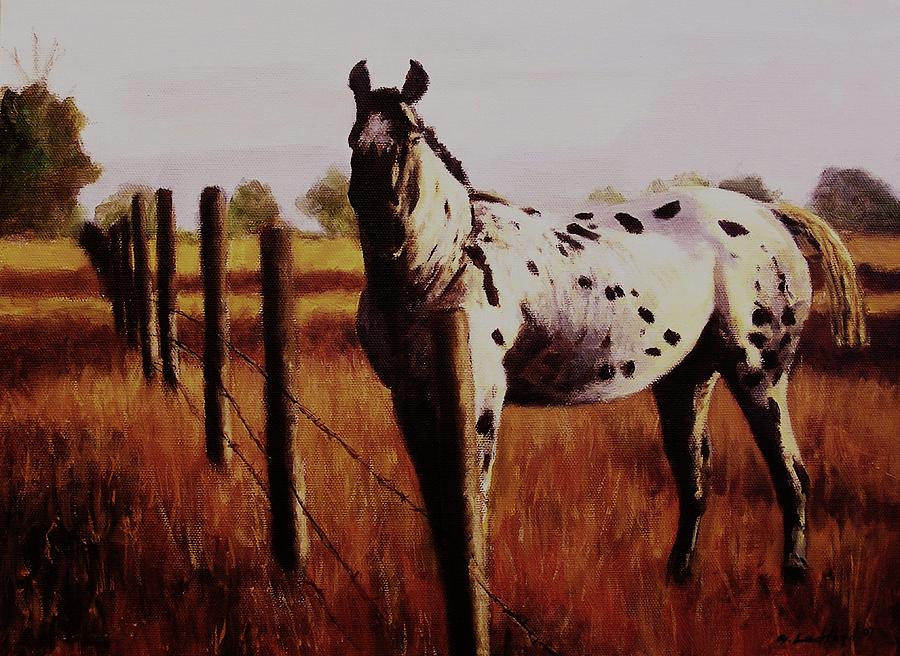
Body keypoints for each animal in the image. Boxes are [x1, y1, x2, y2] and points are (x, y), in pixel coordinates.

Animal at [346, 59, 867, 655]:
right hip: (687, 380)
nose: (379, 220)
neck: (444, 263)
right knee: (695, 475)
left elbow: (470, 505)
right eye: (355, 134)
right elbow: (437, 505)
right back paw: (679, 577)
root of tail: (769, 213)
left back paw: (794, 577)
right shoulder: (409, 399)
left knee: (791, 473)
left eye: (409, 135)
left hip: (759, 375)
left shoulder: (480, 400)